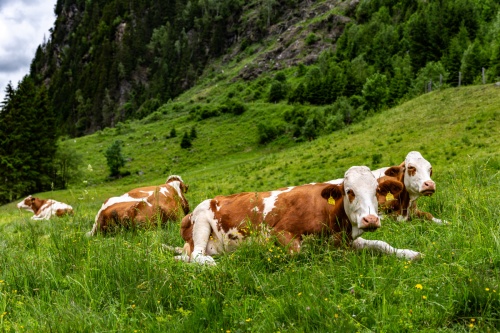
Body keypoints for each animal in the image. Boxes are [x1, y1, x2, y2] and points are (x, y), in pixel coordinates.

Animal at [174, 165, 420, 264]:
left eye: (377, 190)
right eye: (349, 191)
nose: (370, 219)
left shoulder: (344, 239)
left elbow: (381, 244)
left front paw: (409, 253)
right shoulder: (280, 233)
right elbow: (300, 252)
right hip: (201, 223)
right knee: (197, 256)